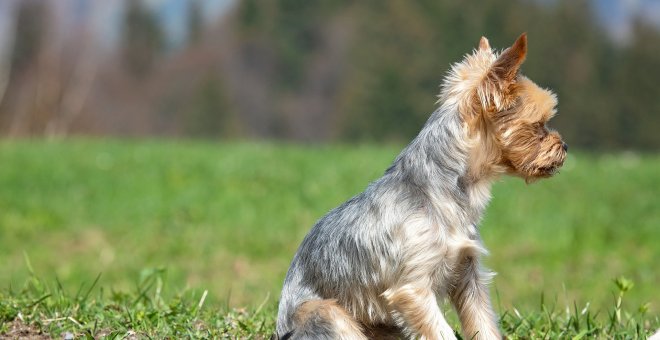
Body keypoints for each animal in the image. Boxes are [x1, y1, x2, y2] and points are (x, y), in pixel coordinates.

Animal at [274, 33, 568, 338]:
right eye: (539, 125)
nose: (565, 147)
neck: (443, 190)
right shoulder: (413, 289)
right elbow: (441, 332)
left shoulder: (468, 273)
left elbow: (483, 323)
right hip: (327, 314)